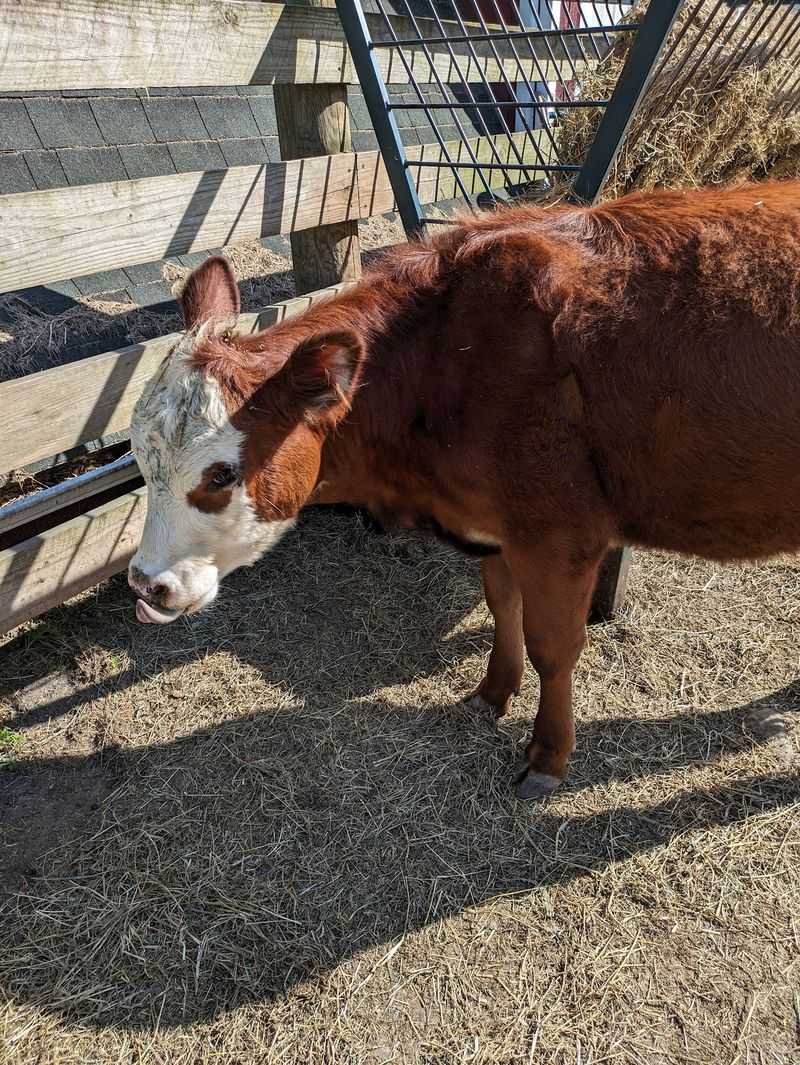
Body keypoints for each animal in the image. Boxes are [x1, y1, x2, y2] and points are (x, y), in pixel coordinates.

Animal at [128, 179, 800, 799]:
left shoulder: (561, 534)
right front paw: (490, 693)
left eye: (221, 474)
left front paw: (548, 755)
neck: (449, 355)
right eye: (138, 455)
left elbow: (554, 646)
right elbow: (504, 607)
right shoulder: (496, 526)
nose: (144, 583)